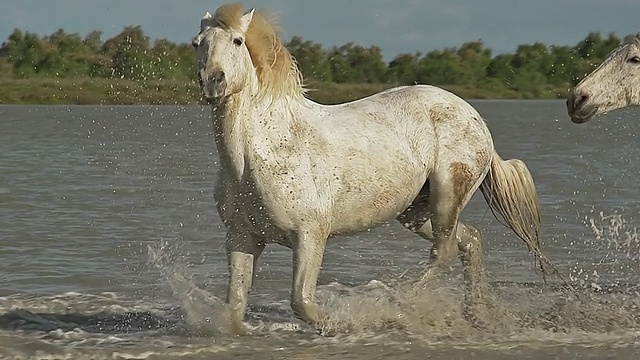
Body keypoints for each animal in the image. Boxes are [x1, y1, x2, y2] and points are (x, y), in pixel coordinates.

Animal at [190, 3, 556, 334]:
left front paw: (345, 325)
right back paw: (477, 316)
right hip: (416, 212)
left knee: (446, 251)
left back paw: (400, 302)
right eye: (198, 43)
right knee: (469, 241)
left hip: (447, 195)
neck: (256, 157)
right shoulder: (242, 238)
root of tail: (474, 116)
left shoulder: (309, 236)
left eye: (237, 40)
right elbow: (236, 308)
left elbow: (302, 302)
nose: (213, 81)